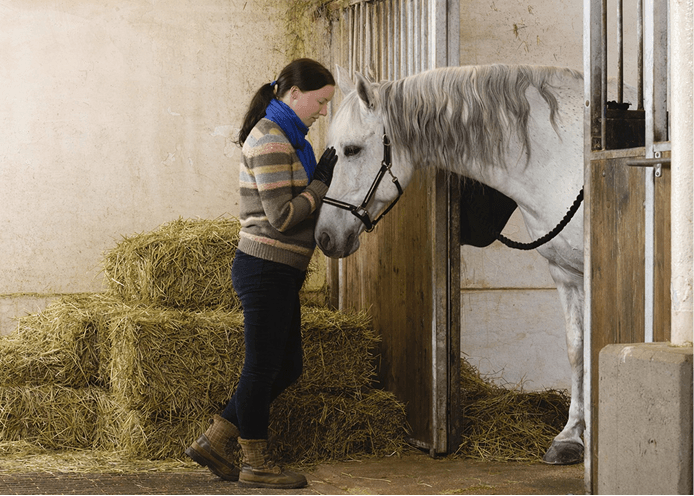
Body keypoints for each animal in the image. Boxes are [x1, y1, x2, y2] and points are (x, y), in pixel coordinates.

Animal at [314, 63, 616, 465]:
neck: (564, 162)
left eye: (352, 150)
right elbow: (577, 349)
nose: (324, 237)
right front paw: (570, 437)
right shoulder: (566, 274)